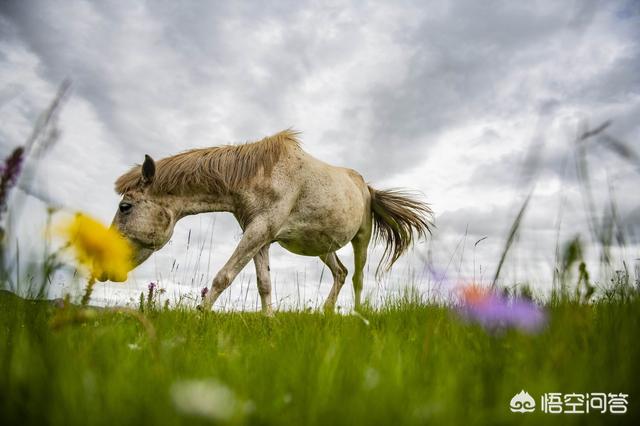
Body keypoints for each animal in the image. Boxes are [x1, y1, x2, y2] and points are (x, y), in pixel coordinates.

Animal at [105, 130, 432, 312]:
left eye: (125, 206)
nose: (105, 269)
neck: (262, 171)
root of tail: (367, 187)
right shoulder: (260, 236)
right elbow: (264, 283)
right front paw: (269, 322)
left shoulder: (260, 230)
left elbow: (224, 276)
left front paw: (200, 316)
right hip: (322, 246)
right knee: (340, 273)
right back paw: (325, 313)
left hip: (360, 239)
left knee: (358, 279)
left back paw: (358, 316)